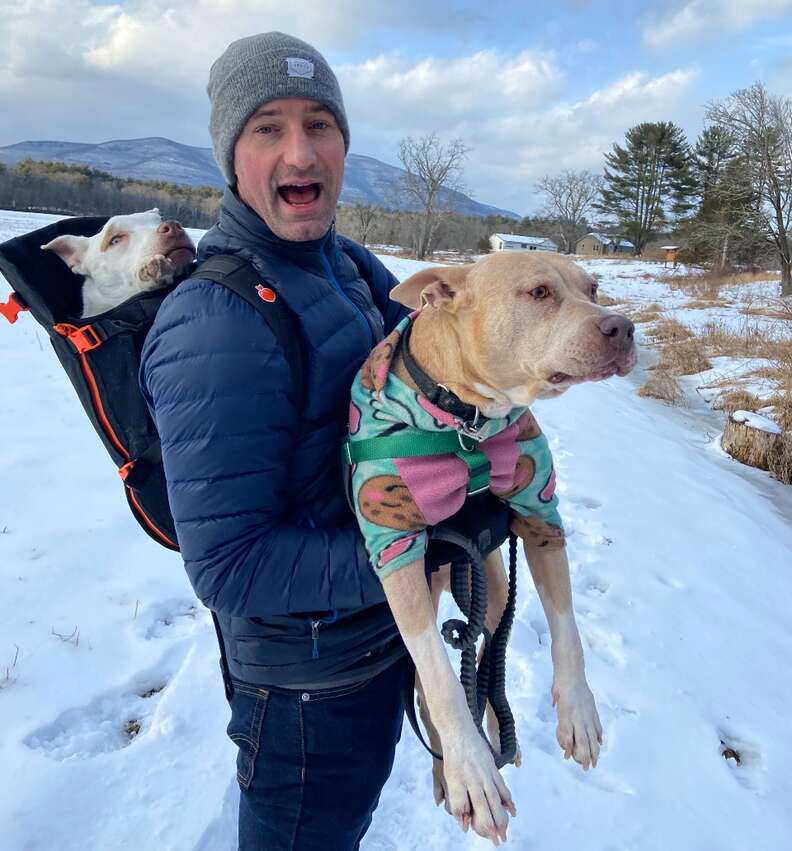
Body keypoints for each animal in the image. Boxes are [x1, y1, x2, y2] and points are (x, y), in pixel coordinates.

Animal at [374, 251, 636, 844]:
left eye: (593, 288)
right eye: (539, 293)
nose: (623, 327)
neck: (467, 421)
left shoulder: (540, 517)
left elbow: (567, 627)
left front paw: (578, 714)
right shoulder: (393, 548)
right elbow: (441, 679)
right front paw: (472, 773)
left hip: (490, 581)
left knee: (491, 651)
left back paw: (499, 731)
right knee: (428, 687)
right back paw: (452, 769)